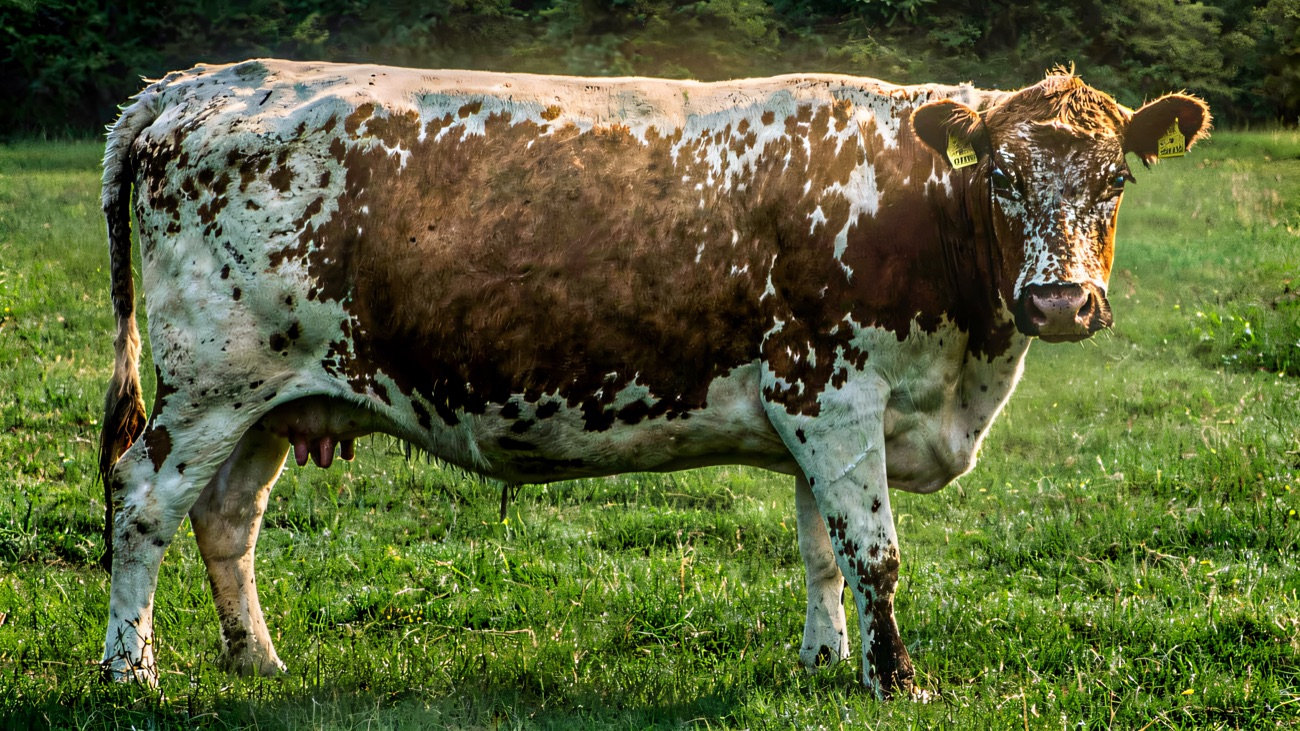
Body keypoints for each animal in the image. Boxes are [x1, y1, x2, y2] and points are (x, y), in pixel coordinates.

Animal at [98, 59, 1209, 699]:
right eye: (1002, 177)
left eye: (1115, 178)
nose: (1061, 302)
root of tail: (189, 84)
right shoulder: (834, 390)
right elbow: (875, 552)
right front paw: (895, 680)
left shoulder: (811, 409)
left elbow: (820, 547)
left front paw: (823, 664)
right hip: (214, 382)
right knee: (144, 498)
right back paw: (130, 668)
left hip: (275, 398)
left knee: (226, 517)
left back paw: (255, 658)